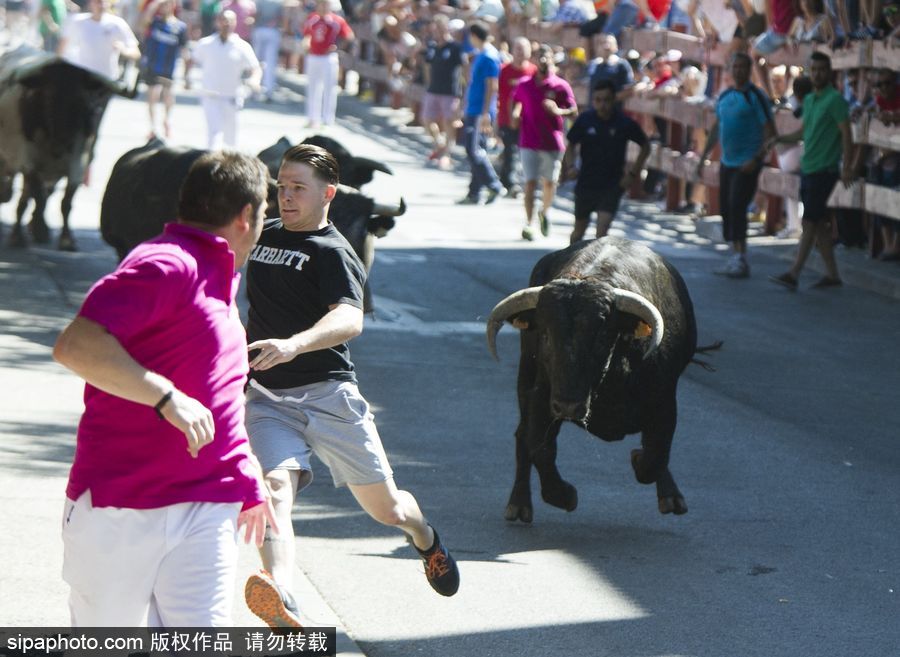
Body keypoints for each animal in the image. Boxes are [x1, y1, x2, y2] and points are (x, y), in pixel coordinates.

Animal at [0, 45, 135, 251]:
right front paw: (39, 229)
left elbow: (66, 202)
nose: (62, 142)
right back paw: (19, 232)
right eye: (47, 98)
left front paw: (66, 239)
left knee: (28, 195)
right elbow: (39, 196)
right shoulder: (27, 158)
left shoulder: (79, 162)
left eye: (80, 100)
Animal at [486, 236, 704, 524]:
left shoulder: (665, 402)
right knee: (523, 436)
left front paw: (639, 460)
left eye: (601, 337)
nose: (568, 406)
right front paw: (565, 495)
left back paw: (671, 495)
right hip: (526, 377)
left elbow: (654, 457)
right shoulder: (542, 397)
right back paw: (519, 504)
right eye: (546, 336)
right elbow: (540, 449)